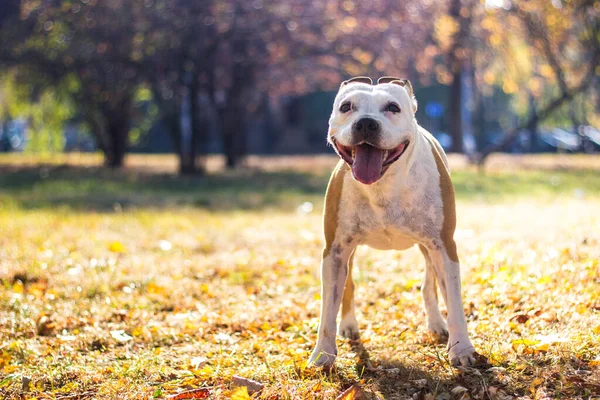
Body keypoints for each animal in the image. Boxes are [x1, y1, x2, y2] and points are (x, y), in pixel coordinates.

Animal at [308, 76, 476, 368]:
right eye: (346, 107)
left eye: (393, 107)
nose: (366, 122)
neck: (383, 185)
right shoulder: (335, 251)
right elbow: (328, 308)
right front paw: (323, 354)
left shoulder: (444, 245)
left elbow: (454, 300)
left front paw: (462, 349)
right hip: (349, 252)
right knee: (348, 286)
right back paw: (349, 325)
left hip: (428, 247)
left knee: (430, 284)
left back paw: (436, 323)